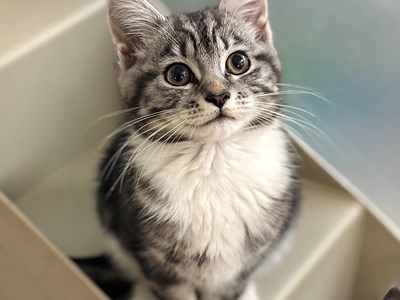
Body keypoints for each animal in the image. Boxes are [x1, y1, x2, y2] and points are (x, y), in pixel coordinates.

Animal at [97, 0, 300, 300]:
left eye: (238, 62)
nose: (218, 95)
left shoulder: (236, 272)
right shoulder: (159, 265)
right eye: (177, 75)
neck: (214, 160)